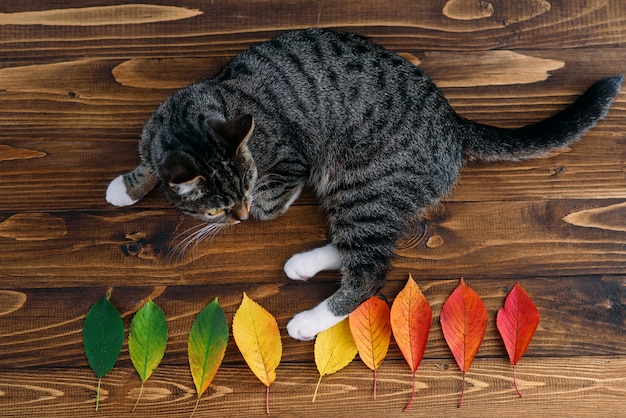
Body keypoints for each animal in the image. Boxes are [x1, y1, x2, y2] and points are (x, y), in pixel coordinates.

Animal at [106, 29, 620, 342]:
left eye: (243, 190)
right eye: (214, 208)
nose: (239, 216)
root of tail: (454, 123)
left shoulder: (290, 159)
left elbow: (275, 200)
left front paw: (265, 205)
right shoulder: (158, 131)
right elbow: (146, 162)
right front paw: (125, 187)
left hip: (361, 183)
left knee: (371, 268)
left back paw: (309, 320)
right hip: (363, 194)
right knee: (372, 243)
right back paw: (304, 264)